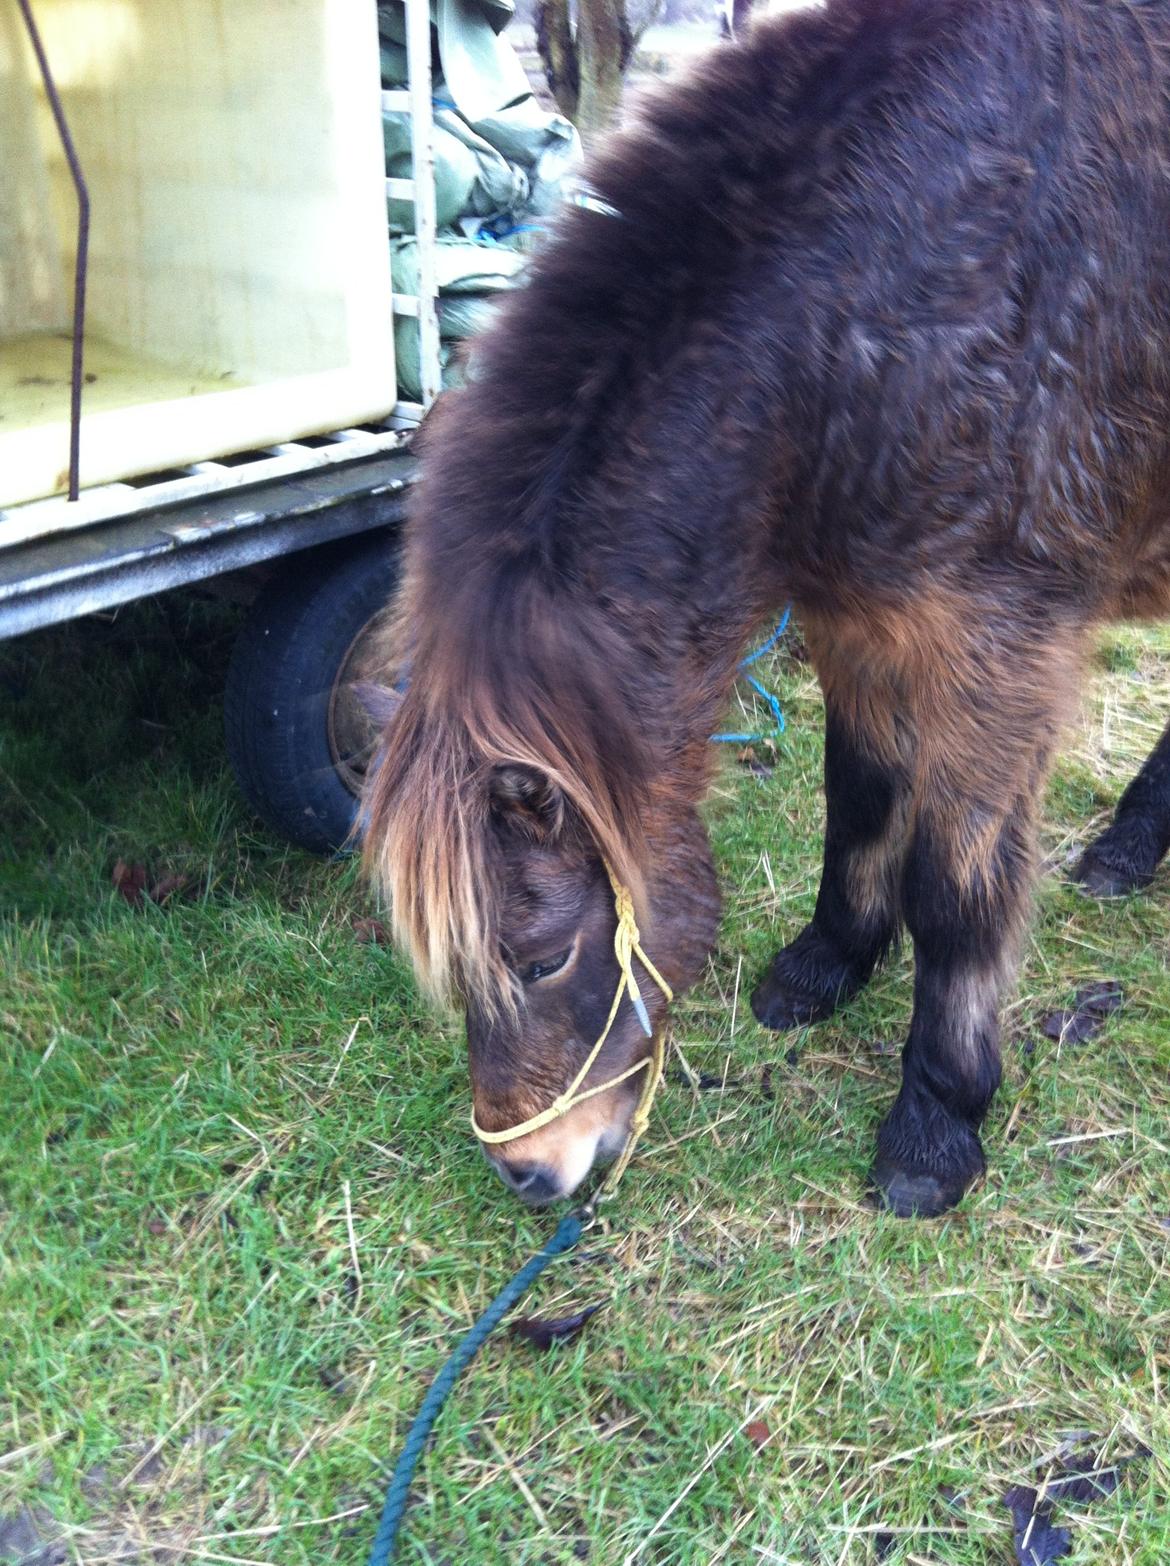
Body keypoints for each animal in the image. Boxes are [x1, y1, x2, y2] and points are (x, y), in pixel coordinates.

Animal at [361, 0, 1170, 1215]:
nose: (528, 1174)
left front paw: (936, 1123)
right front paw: (827, 964)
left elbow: (955, 887)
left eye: (541, 956)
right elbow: (861, 795)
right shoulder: (861, 617)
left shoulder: (997, 652)